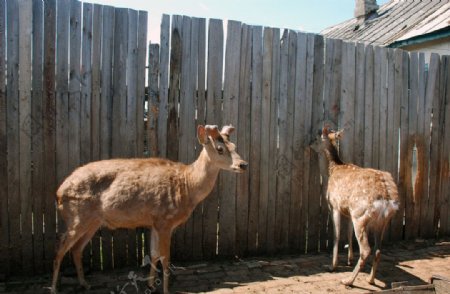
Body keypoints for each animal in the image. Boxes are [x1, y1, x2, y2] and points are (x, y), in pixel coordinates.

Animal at [50, 124, 248, 294]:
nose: (243, 164)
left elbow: (153, 254)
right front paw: (166, 289)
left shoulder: (153, 222)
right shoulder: (165, 220)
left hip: (93, 221)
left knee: (76, 249)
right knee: (60, 247)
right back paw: (53, 288)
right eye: (220, 148)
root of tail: (58, 192)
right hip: (77, 216)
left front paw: (151, 286)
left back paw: (85, 284)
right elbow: (165, 258)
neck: (187, 186)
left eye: (234, 145)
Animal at [312, 126, 400, 288]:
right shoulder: (348, 211)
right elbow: (348, 233)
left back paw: (348, 280)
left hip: (360, 215)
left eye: (316, 138)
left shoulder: (334, 205)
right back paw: (370, 279)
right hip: (381, 221)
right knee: (378, 249)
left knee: (366, 249)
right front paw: (349, 259)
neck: (332, 170)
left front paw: (332, 265)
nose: (308, 144)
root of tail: (387, 199)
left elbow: (336, 234)